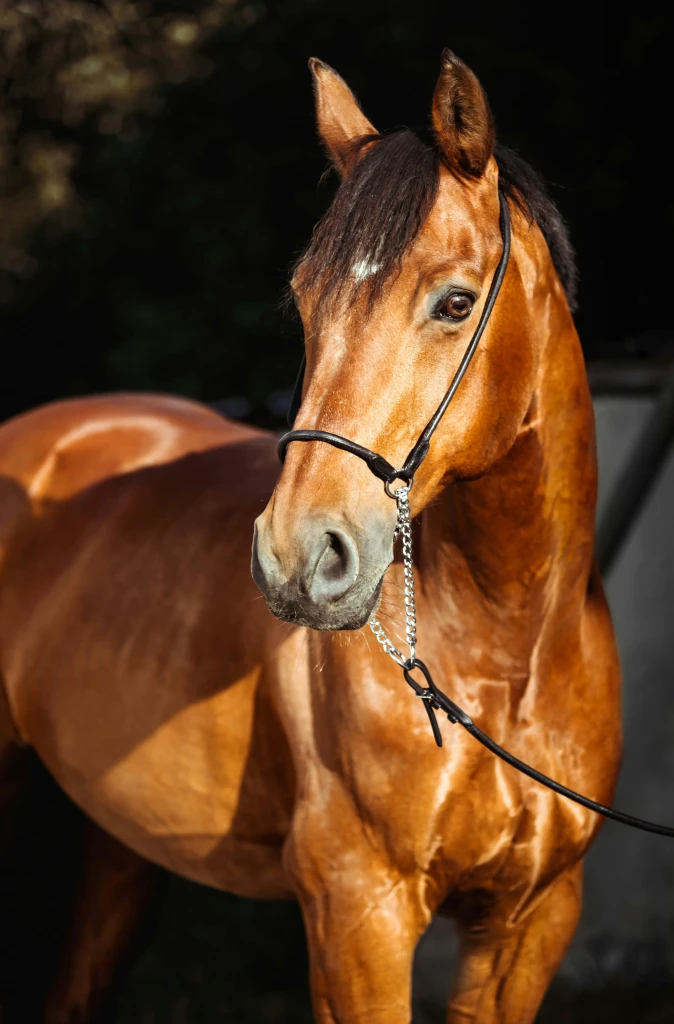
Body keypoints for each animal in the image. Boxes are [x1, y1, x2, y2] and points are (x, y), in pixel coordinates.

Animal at [0, 50, 620, 1023]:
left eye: (455, 302)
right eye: (304, 301)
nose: (295, 558)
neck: (505, 658)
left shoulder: (531, 922)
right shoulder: (357, 913)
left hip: (119, 848)